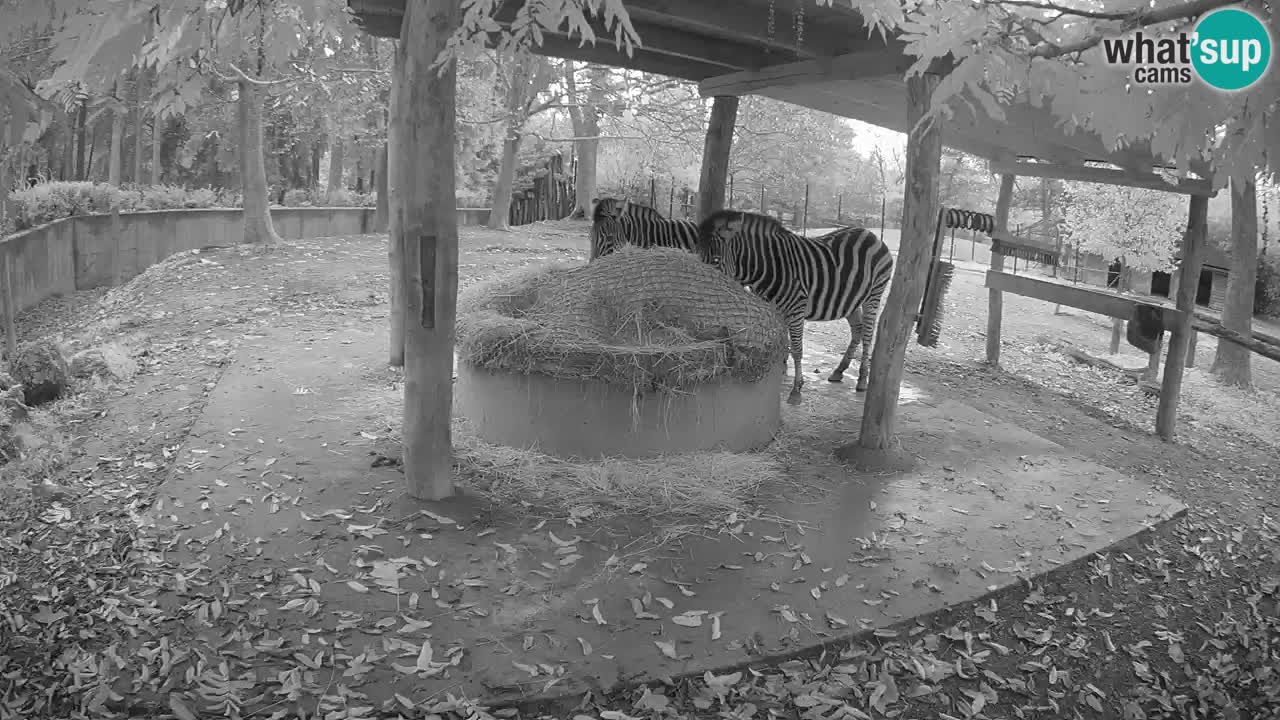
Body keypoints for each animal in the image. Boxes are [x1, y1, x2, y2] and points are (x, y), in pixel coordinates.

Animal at [695, 209, 895, 404]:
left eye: (715, 260)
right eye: (697, 257)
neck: (769, 266)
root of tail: (871, 234)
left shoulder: (797, 308)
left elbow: (797, 350)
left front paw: (796, 390)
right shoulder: (774, 308)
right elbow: (781, 342)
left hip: (873, 295)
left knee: (868, 334)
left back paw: (862, 380)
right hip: (850, 300)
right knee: (858, 329)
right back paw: (839, 371)